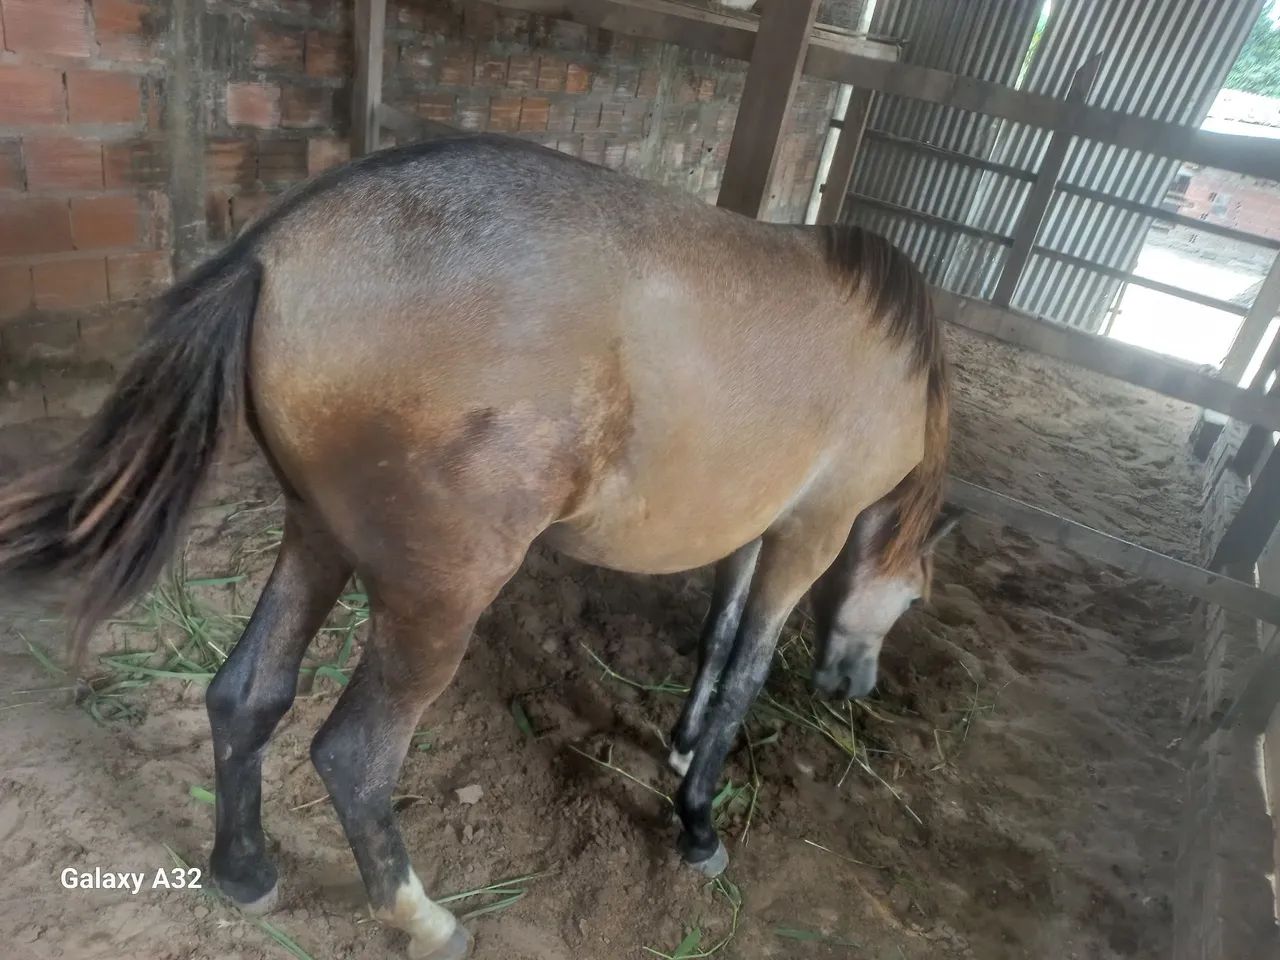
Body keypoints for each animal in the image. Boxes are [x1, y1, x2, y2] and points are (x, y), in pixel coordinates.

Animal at [0, 134, 957, 960]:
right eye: (913, 598)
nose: (854, 685)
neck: (888, 350)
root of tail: (276, 251)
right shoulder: (810, 529)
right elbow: (745, 676)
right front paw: (698, 821)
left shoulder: (753, 527)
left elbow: (716, 640)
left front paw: (682, 749)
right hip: (439, 599)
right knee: (353, 756)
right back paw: (423, 918)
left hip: (315, 536)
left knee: (246, 697)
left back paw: (244, 871)